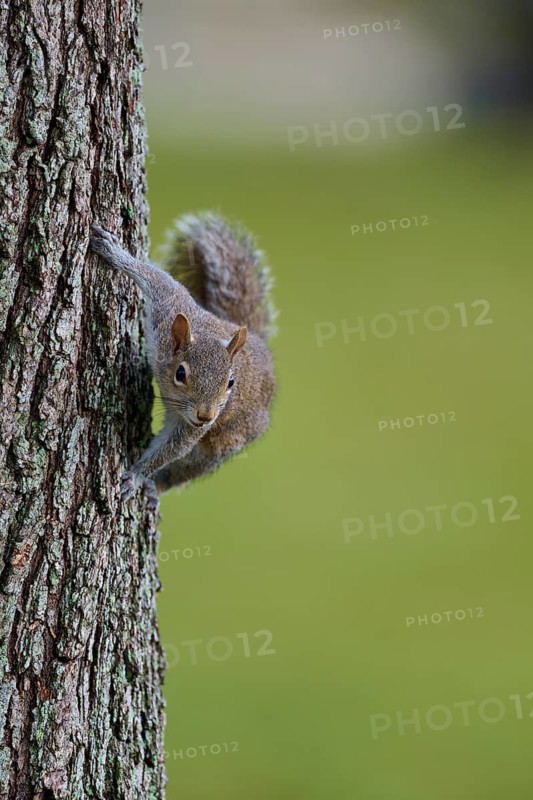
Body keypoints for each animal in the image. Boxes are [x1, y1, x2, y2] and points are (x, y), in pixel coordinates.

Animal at [89, 213, 276, 506]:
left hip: (222, 444)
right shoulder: (169, 307)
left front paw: (137, 476)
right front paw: (114, 251)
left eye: (231, 382)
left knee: (183, 471)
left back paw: (155, 486)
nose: (206, 416)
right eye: (181, 374)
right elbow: (157, 279)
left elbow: (171, 449)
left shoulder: (192, 428)